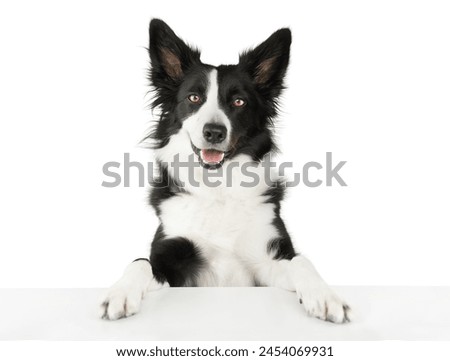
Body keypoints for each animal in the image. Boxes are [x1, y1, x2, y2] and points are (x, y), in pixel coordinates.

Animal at [101, 19, 352, 324]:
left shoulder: (266, 262)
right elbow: (139, 263)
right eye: (194, 97)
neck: (217, 186)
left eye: (238, 102)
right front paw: (119, 294)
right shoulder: (170, 261)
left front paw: (325, 296)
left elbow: (301, 261)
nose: (214, 132)